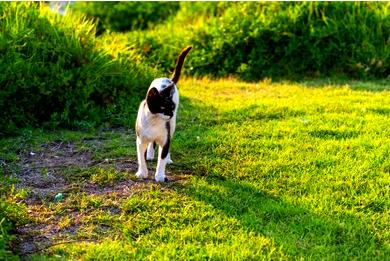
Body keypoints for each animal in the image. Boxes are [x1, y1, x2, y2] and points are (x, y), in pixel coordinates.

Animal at [135, 45, 193, 182]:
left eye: (172, 107)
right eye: (162, 107)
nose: (170, 114)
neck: (154, 121)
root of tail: (166, 79)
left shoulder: (165, 139)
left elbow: (162, 157)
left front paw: (160, 176)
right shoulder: (140, 140)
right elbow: (141, 158)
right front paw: (142, 172)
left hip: (172, 125)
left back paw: (167, 159)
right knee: (151, 143)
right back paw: (150, 154)